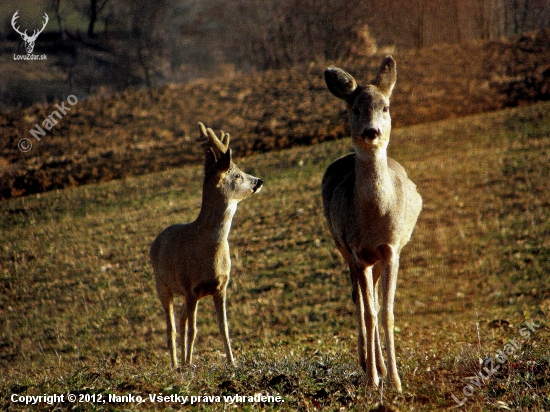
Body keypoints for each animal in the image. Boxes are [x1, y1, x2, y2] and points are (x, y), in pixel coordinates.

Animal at [150, 121, 264, 366]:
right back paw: (176, 364)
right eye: (237, 175)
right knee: (172, 327)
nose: (259, 181)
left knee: (181, 319)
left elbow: (224, 327)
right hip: (162, 285)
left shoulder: (220, 286)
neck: (209, 248)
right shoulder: (190, 286)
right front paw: (189, 364)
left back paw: (182, 362)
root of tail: (157, 238)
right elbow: (193, 330)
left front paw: (232, 362)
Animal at [324, 56, 422, 392]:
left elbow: (387, 312)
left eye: (386, 107)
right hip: (341, 247)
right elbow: (368, 312)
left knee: (375, 302)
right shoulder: (357, 252)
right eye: (355, 109)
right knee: (359, 299)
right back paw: (367, 361)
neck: (374, 217)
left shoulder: (391, 250)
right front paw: (372, 380)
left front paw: (395, 381)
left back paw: (377, 363)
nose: (371, 131)